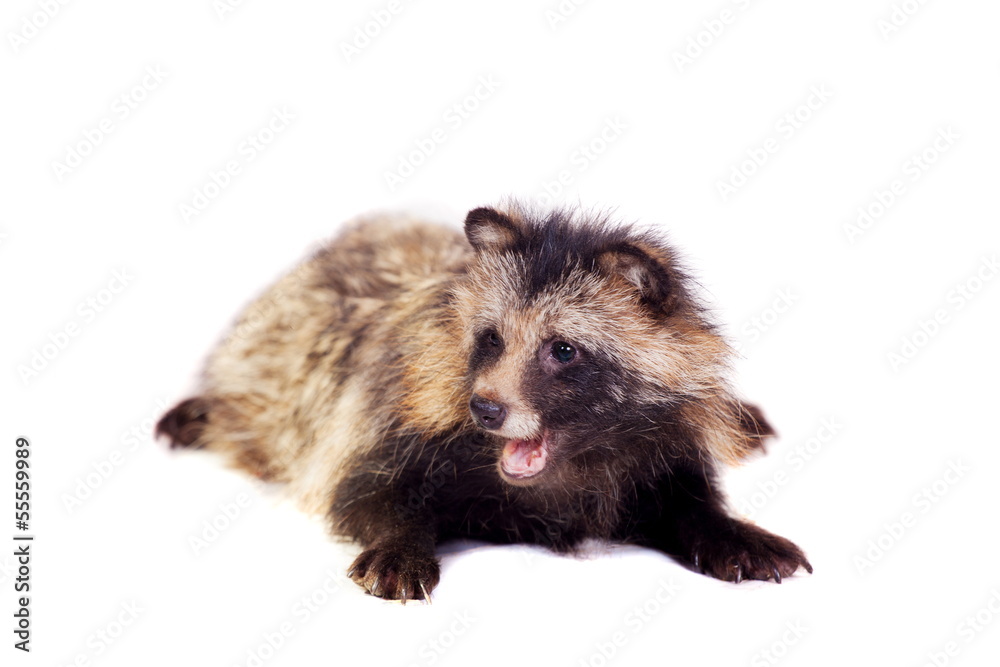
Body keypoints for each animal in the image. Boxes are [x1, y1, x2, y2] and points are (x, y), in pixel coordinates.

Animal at [157, 203, 812, 601]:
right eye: (491, 338)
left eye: (563, 350)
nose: (486, 410)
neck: (568, 468)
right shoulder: (387, 421)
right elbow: (364, 490)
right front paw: (400, 540)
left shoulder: (663, 446)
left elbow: (691, 501)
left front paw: (731, 529)